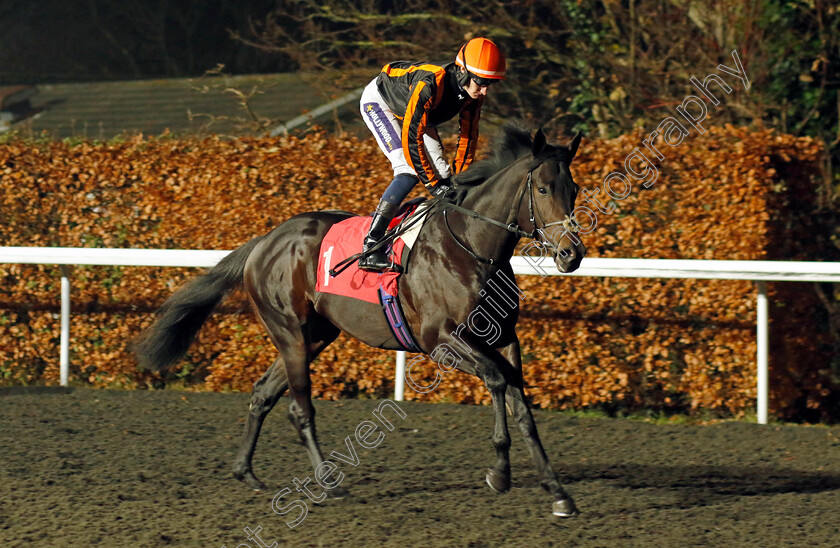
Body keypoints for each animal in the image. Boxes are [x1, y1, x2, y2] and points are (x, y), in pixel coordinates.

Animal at [136, 124, 584, 520]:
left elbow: (522, 407)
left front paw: (558, 492)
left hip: (316, 336)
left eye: (575, 189)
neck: (470, 246)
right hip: (290, 332)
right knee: (300, 408)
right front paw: (500, 472)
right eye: (543, 189)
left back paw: (245, 471)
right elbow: (496, 380)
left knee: (263, 392)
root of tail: (265, 241)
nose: (571, 254)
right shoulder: (440, 340)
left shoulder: (505, 338)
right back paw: (327, 482)